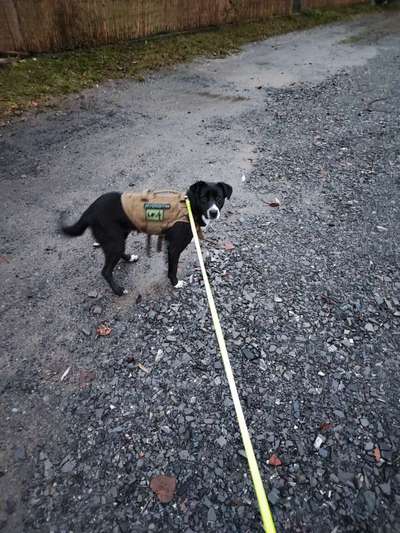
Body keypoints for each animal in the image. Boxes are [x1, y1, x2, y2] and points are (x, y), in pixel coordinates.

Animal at [61, 181, 233, 294]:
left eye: (219, 198)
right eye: (204, 198)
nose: (213, 212)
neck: (189, 207)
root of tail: (90, 210)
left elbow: (169, 264)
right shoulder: (175, 247)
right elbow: (173, 268)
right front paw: (175, 283)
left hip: (118, 237)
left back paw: (129, 258)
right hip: (115, 240)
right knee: (106, 271)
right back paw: (118, 290)